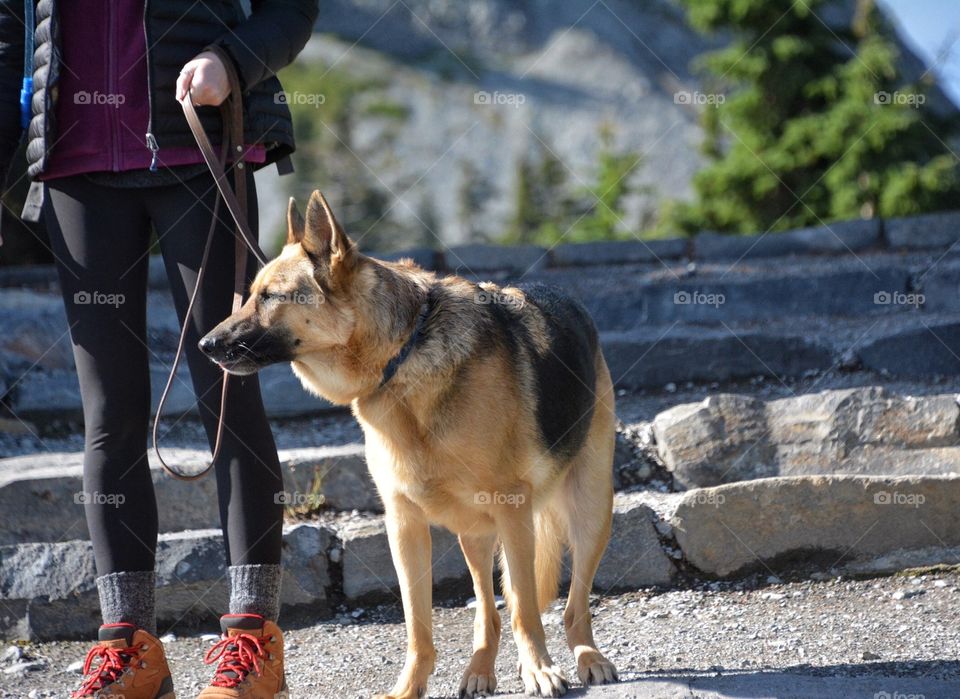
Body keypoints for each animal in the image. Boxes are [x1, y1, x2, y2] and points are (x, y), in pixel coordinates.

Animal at [200, 191, 620, 699]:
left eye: (270, 296)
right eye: (251, 295)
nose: (203, 345)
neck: (402, 355)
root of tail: (570, 301)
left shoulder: (513, 512)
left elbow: (524, 607)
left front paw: (538, 669)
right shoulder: (404, 525)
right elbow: (418, 623)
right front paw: (408, 687)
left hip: (588, 513)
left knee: (572, 605)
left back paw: (587, 657)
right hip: (475, 533)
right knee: (487, 611)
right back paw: (480, 669)